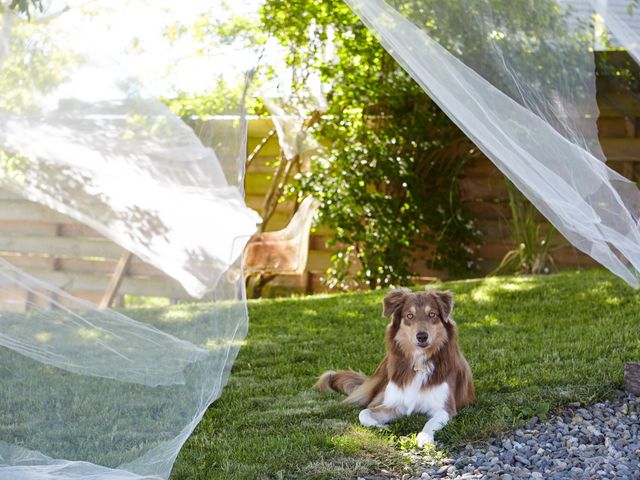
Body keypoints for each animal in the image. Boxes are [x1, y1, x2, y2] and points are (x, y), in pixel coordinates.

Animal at [316, 286, 476, 448]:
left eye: (432, 314)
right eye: (409, 316)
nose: (422, 336)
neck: (419, 362)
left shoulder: (445, 409)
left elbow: (430, 423)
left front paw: (423, 437)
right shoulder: (396, 405)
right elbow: (364, 413)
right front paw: (381, 427)